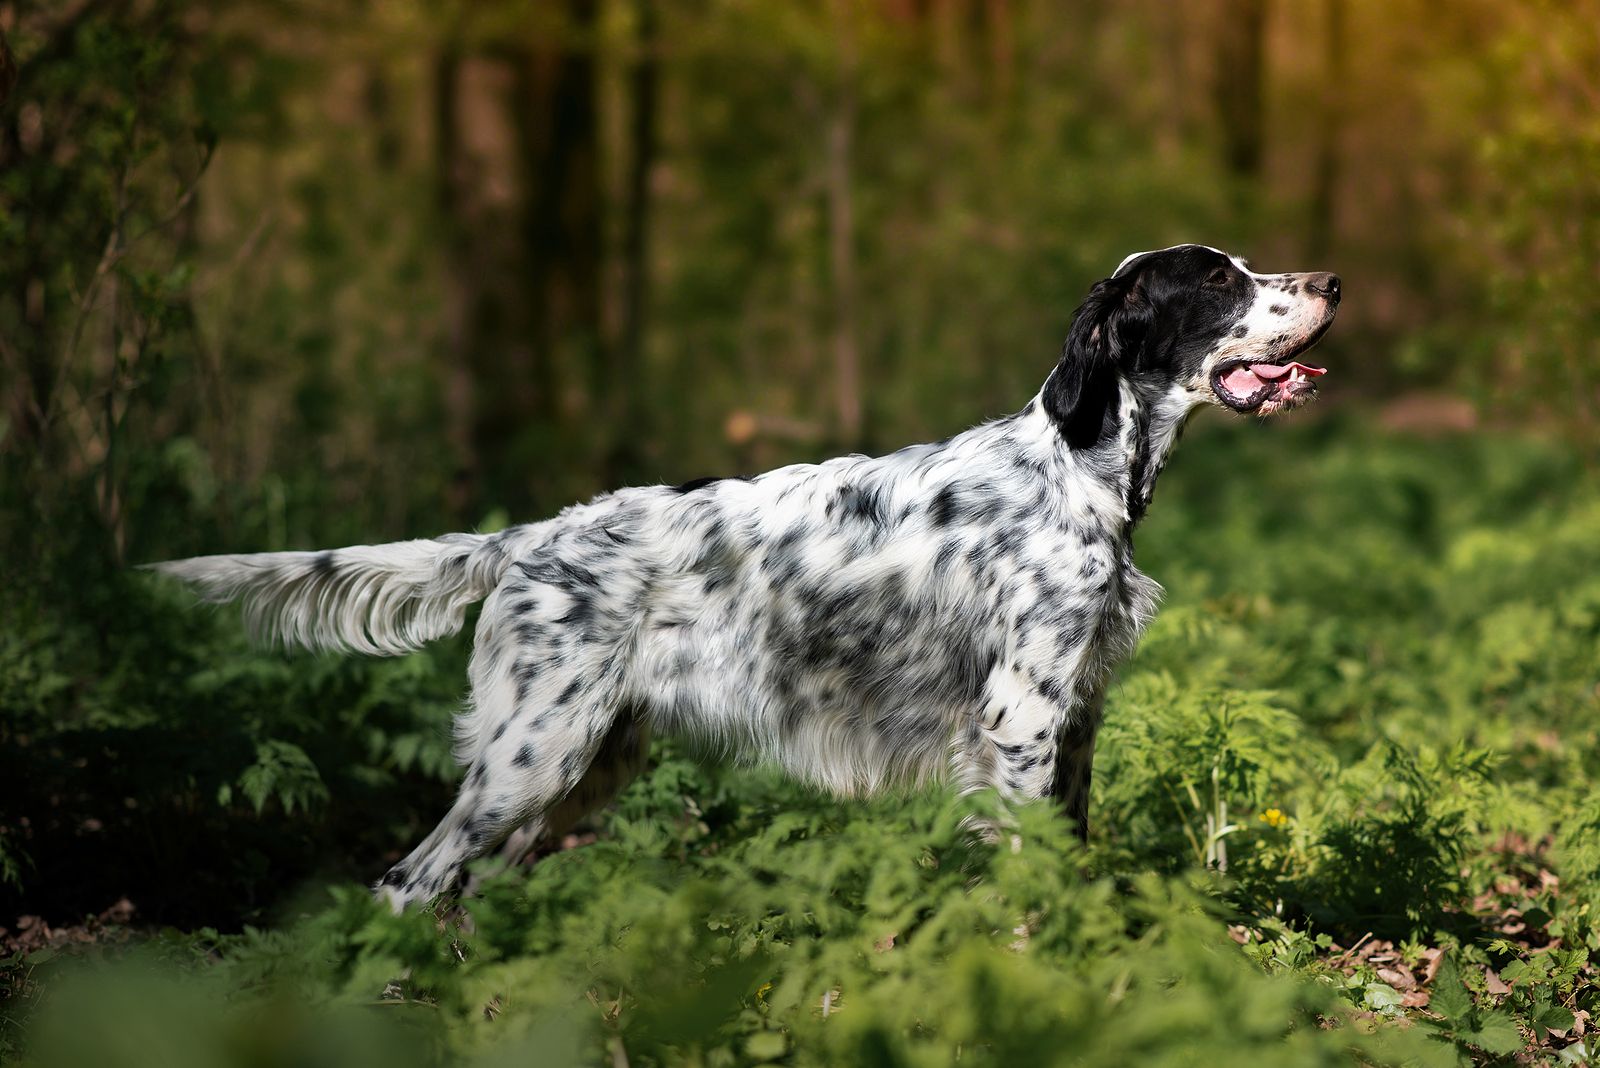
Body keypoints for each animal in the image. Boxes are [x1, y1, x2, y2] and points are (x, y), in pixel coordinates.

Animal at [152, 244, 1337, 908]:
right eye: (1218, 278)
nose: (1331, 279)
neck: (1077, 470)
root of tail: (527, 537)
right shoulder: (1019, 724)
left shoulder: (1075, 720)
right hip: (528, 762)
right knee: (407, 885)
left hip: (583, 765)